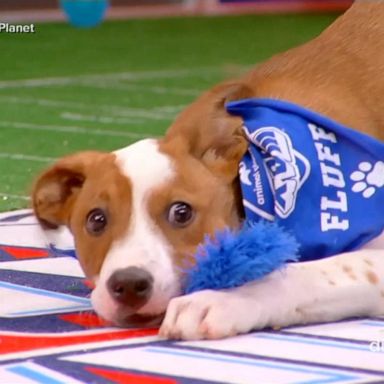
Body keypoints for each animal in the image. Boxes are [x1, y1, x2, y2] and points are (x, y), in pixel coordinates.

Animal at [32, 1, 384, 340]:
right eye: (96, 220)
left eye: (181, 212)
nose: (129, 284)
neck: (264, 174)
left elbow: (310, 273)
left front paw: (225, 299)